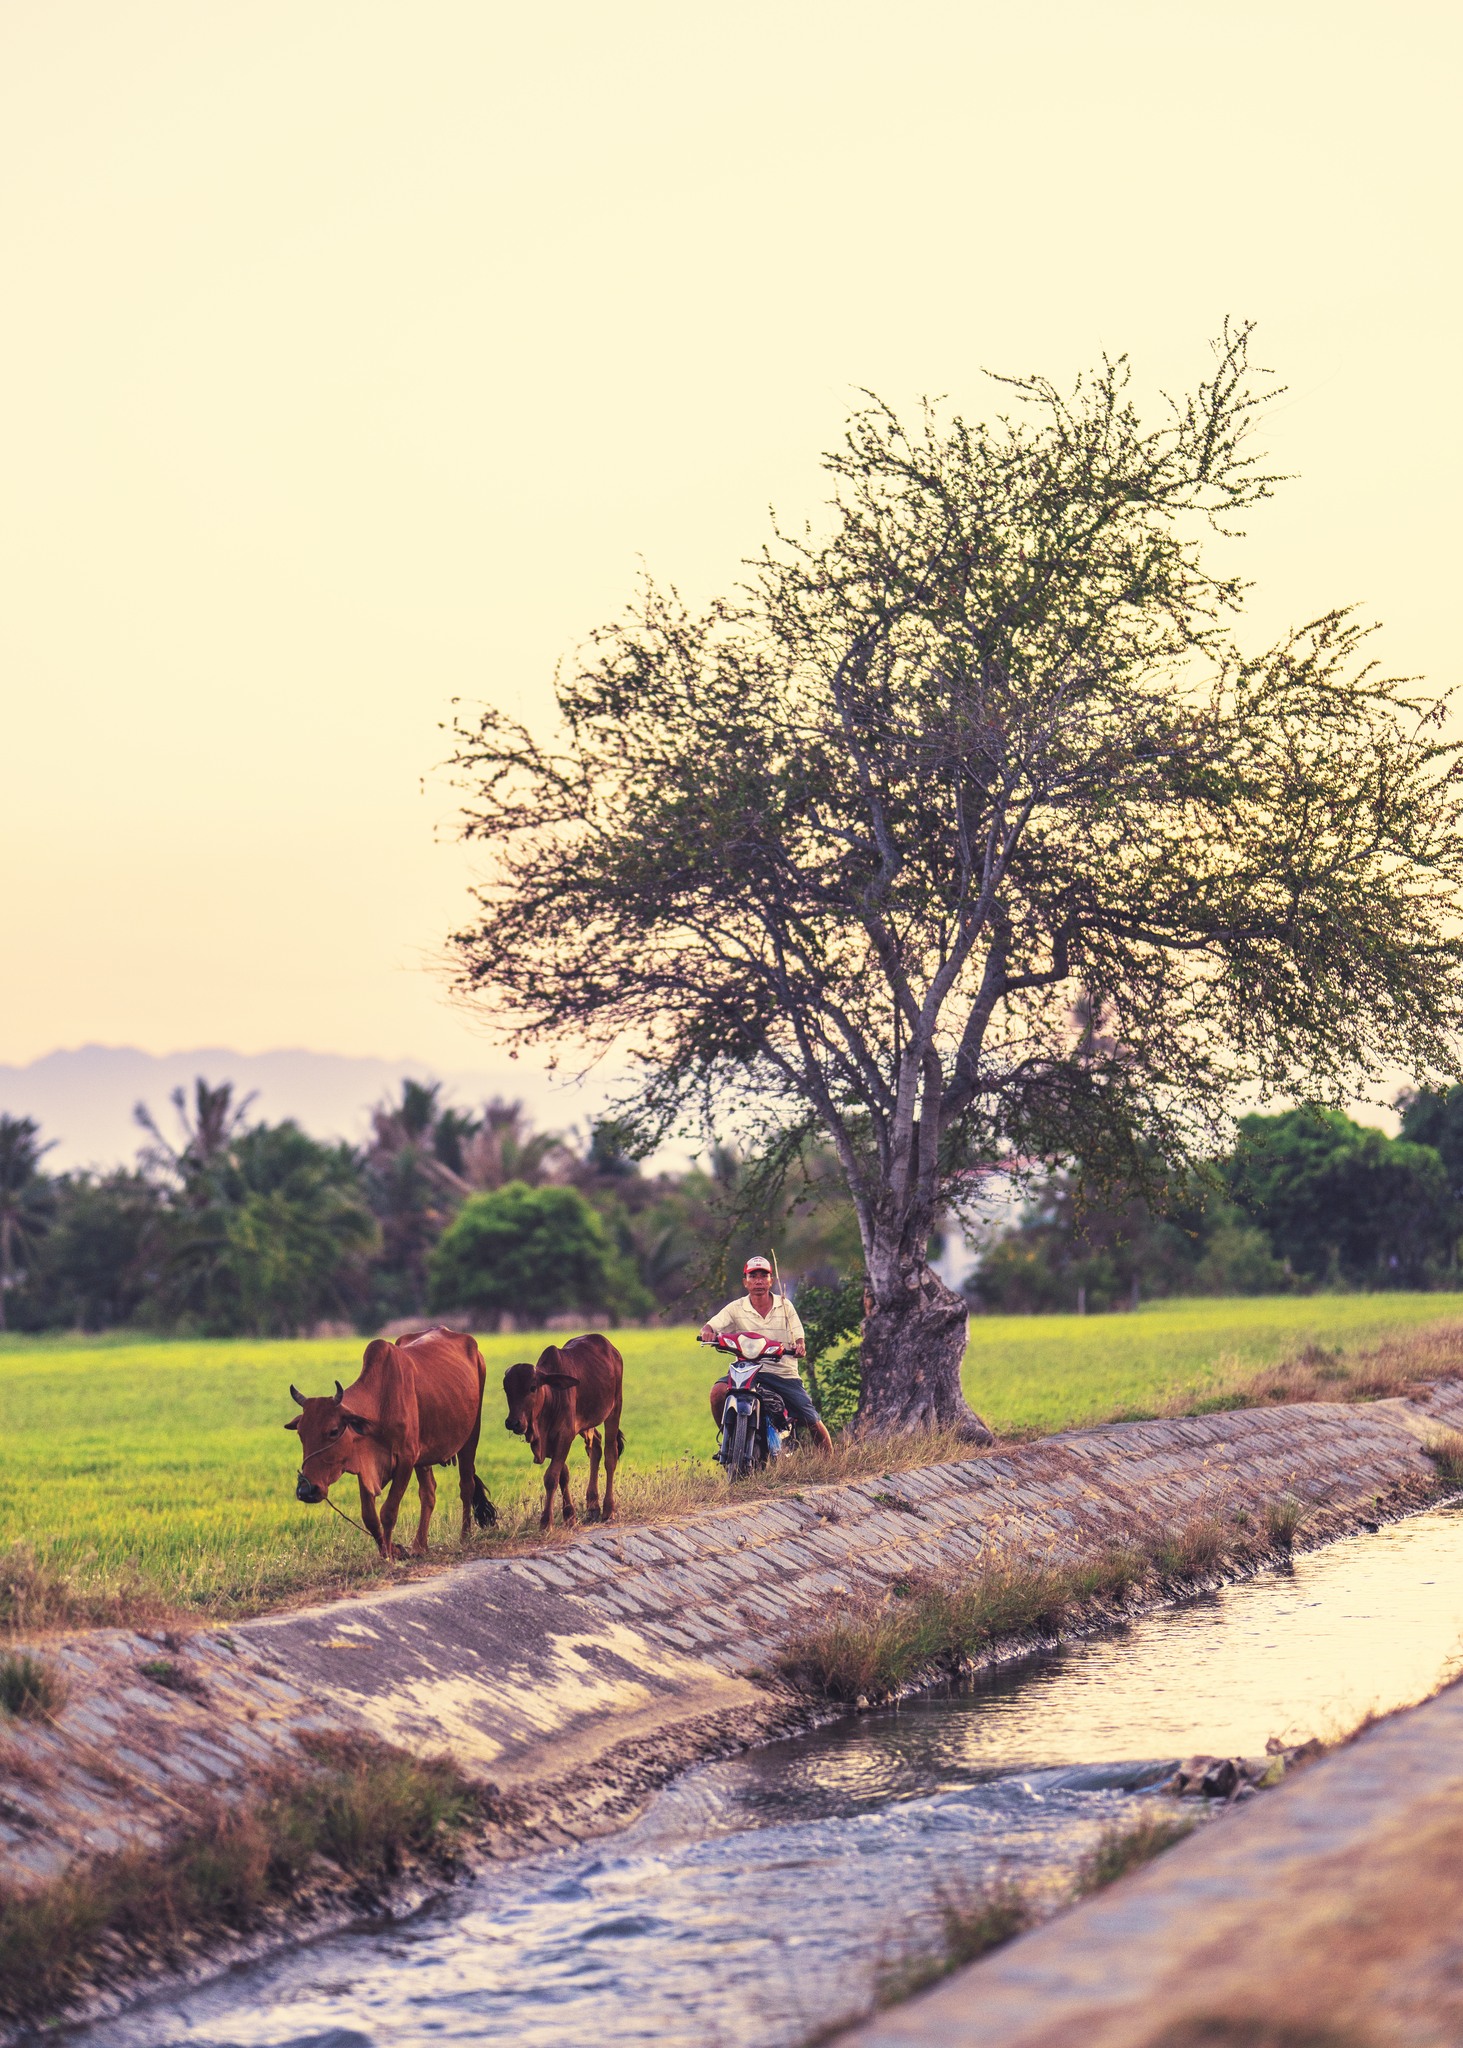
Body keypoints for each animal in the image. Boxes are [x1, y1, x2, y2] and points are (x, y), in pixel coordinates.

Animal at [284, 1318, 495, 1556]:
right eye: (301, 1434)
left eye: (333, 1431)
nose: (306, 1490)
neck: (381, 1403)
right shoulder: (365, 1464)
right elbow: (369, 1517)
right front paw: (390, 1551)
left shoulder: (406, 1459)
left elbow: (388, 1511)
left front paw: (390, 1556)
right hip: (424, 1457)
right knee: (429, 1493)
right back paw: (419, 1546)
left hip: (471, 1436)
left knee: (466, 1485)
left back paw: (464, 1537)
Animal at [502, 1335, 622, 1531]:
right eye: (507, 1389)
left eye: (533, 1387)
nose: (513, 1422)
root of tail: (611, 1348)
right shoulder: (553, 1443)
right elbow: (563, 1475)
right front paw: (569, 1516)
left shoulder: (564, 1435)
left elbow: (551, 1477)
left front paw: (546, 1522)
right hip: (586, 1424)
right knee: (595, 1446)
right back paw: (592, 1506)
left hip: (614, 1409)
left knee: (610, 1455)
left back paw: (608, 1510)